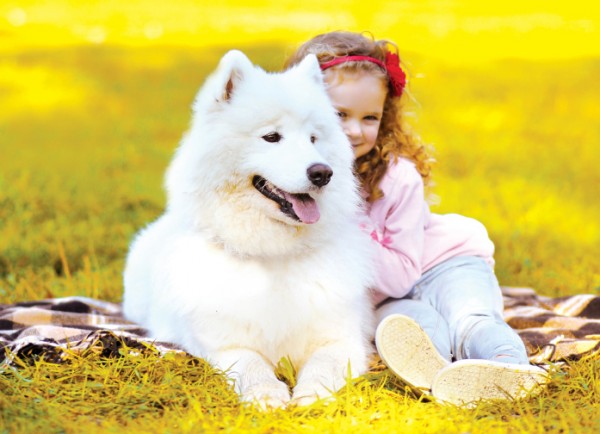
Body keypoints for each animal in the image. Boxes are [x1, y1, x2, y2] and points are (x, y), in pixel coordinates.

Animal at [123, 50, 376, 406]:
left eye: (314, 139)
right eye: (271, 137)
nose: (322, 173)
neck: (273, 251)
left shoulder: (342, 338)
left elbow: (324, 364)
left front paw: (311, 396)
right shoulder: (223, 342)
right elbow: (251, 364)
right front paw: (267, 395)